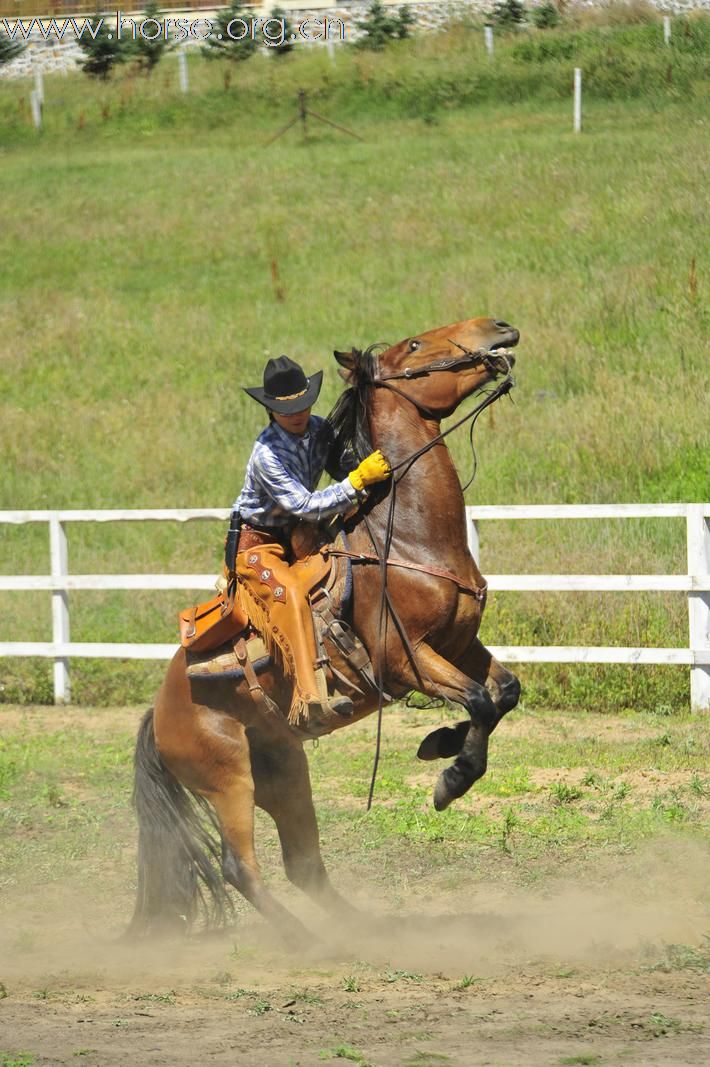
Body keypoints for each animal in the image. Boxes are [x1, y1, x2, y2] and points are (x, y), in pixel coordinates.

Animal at [130, 313, 521, 943]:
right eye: (415, 344)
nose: (499, 327)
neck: (406, 539)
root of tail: (160, 710)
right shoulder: (405, 659)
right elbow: (481, 702)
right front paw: (451, 777)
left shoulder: (460, 643)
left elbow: (503, 692)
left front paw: (439, 744)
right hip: (229, 780)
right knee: (242, 866)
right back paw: (303, 939)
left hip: (285, 771)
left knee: (304, 864)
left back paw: (360, 931)